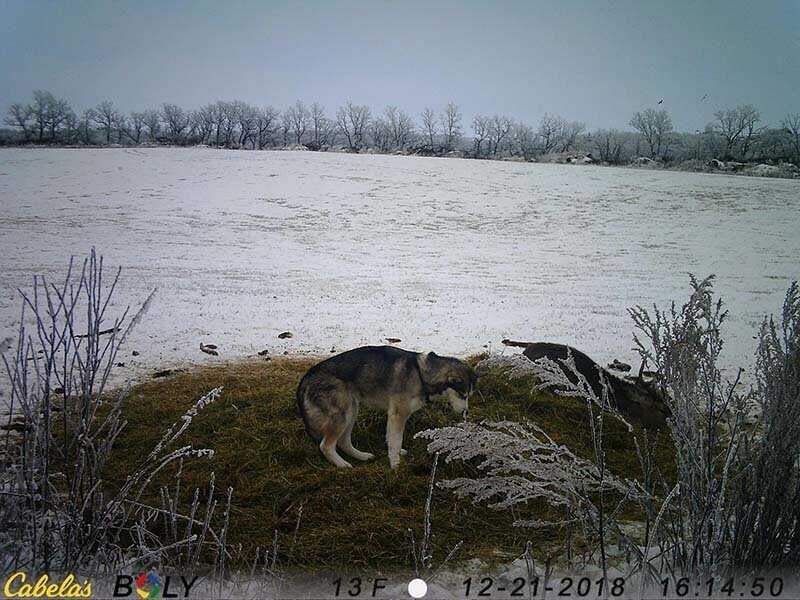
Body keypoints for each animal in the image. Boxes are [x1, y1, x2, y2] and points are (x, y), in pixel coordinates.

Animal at [298, 346, 476, 468]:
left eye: (469, 395)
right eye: (462, 395)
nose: (465, 412)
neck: (422, 375)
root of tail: (307, 376)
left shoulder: (393, 414)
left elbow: (391, 438)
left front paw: (396, 455)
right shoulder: (399, 414)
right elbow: (395, 440)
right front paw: (396, 466)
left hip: (352, 410)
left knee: (343, 441)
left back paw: (362, 456)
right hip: (342, 415)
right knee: (326, 446)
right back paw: (342, 464)